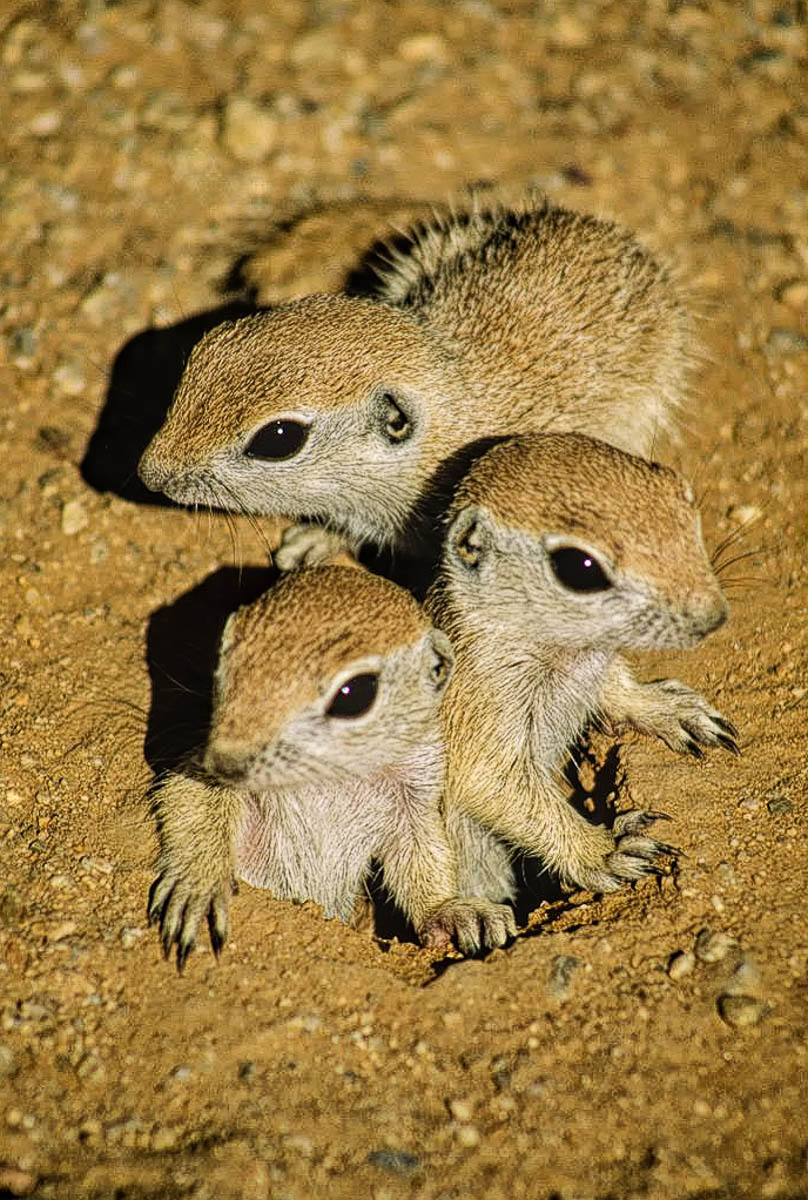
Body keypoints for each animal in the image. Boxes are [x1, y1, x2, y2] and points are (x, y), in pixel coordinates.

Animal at [147, 564, 516, 969]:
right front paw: (201, 881)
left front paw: (453, 910)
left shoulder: (415, 785)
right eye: (223, 656)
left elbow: (423, 853)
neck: (331, 776)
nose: (224, 761)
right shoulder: (199, 764)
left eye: (355, 693)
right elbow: (192, 796)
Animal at [426, 432, 738, 896]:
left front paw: (674, 710)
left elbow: (616, 687)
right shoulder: (482, 703)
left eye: (680, 494)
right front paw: (607, 851)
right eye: (579, 567)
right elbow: (497, 785)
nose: (713, 616)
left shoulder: (594, 666)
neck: (570, 652)